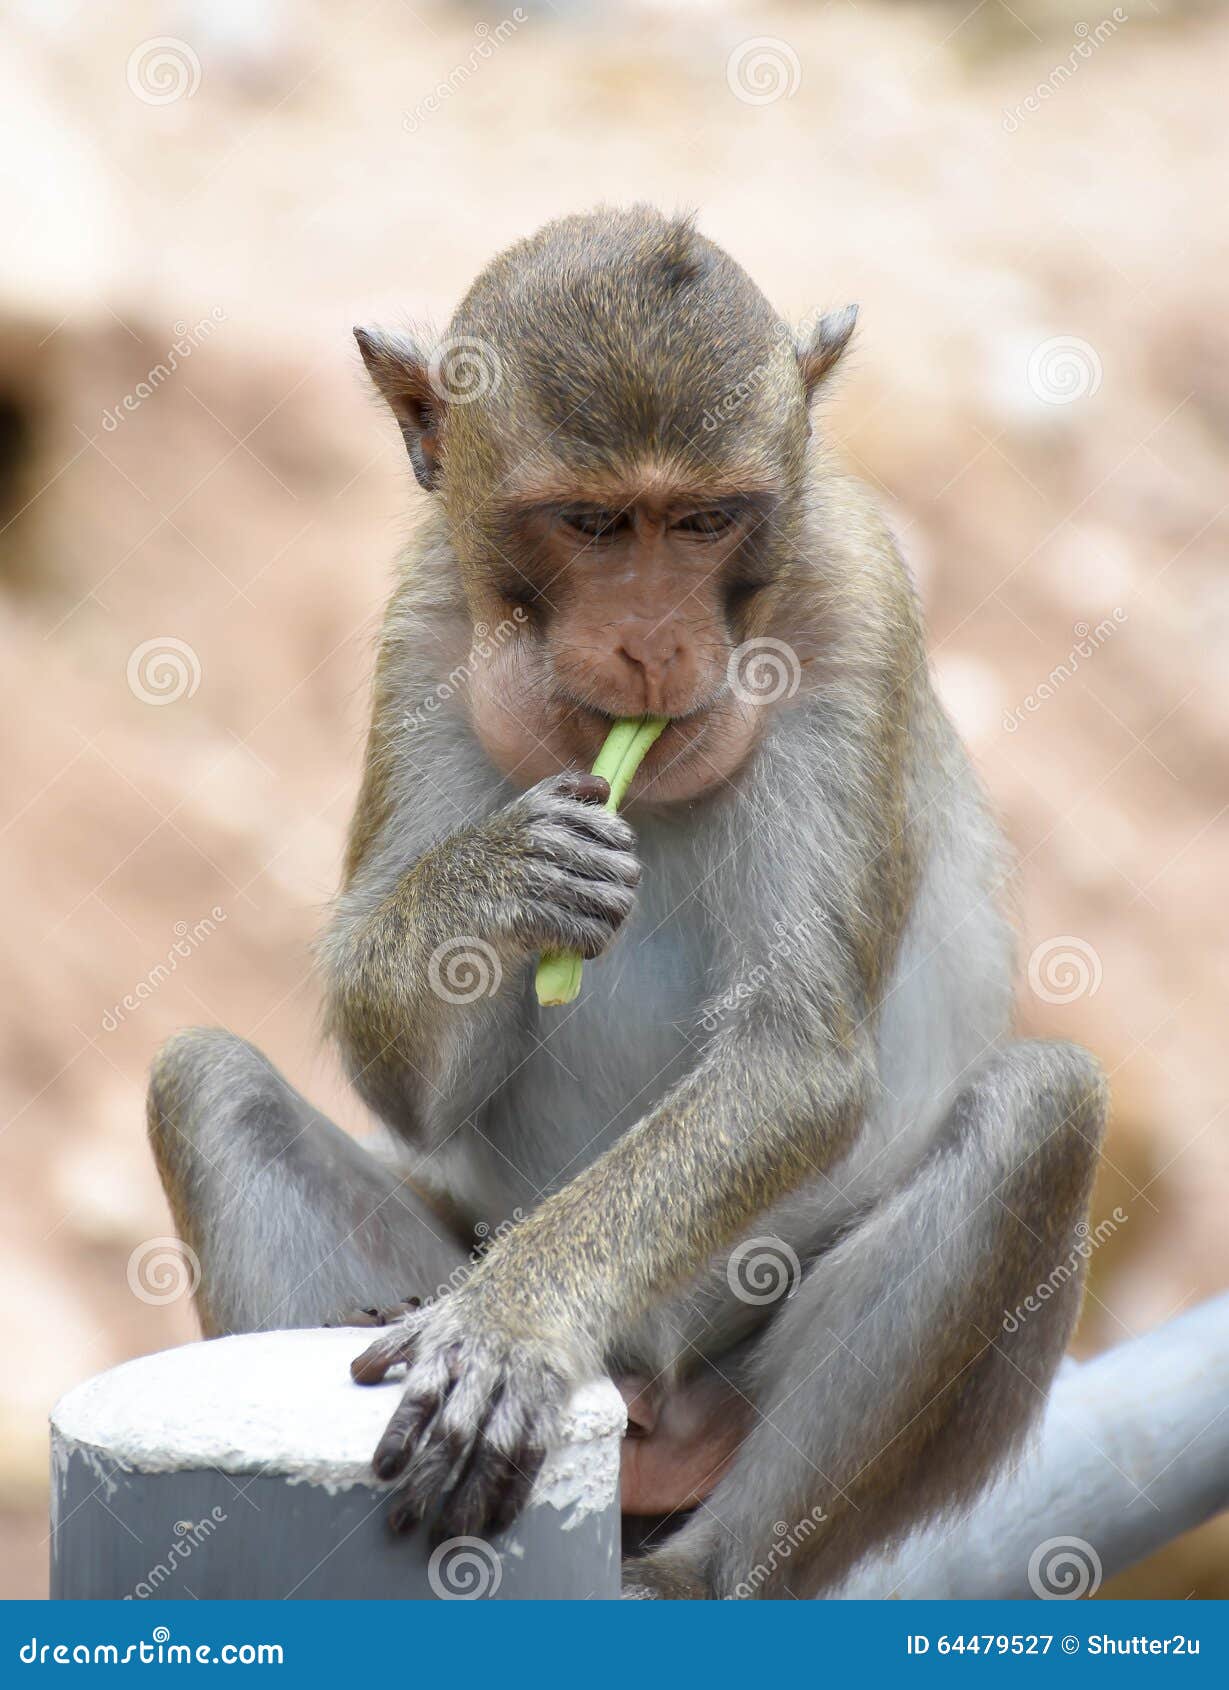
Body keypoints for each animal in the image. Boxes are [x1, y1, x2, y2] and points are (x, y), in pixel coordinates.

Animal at [146, 205, 1107, 1600]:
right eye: (593, 525)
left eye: (703, 519)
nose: (653, 642)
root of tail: (647, 1418)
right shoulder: (426, 619)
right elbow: (403, 1081)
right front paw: (501, 881)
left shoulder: (856, 597)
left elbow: (790, 1057)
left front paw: (514, 1320)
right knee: (207, 1083)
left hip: (723, 1391)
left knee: (1044, 1107)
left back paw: (703, 1571)